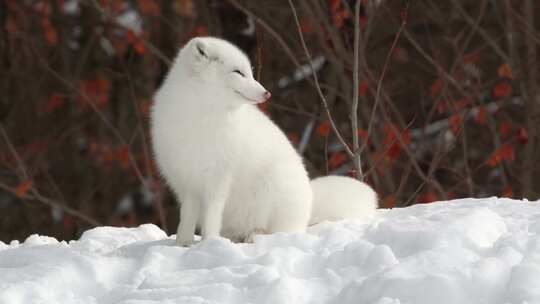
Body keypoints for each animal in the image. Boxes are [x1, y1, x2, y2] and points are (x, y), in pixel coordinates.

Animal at [151, 36, 312, 246]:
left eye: (250, 73)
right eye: (238, 72)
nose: (267, 93)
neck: (201, 117)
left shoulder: (219, 177)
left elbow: (212, 215)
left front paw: (209, 242)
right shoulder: (188, 180)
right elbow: (186, 216)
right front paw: (183, 244)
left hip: (272, 191)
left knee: (274, 231)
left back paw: (254, 235)